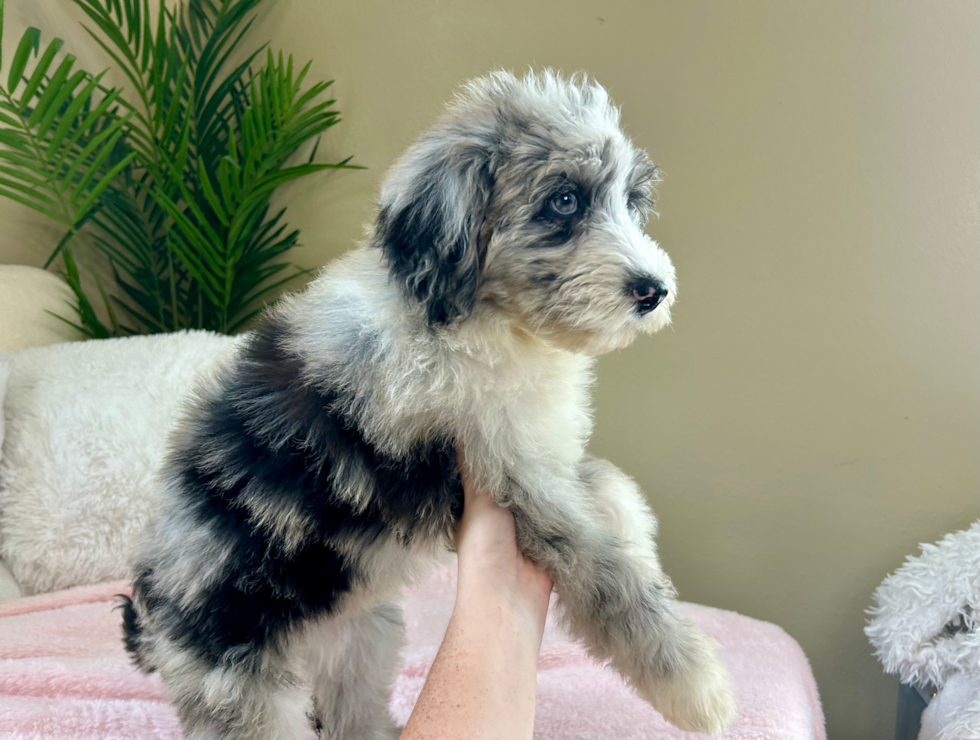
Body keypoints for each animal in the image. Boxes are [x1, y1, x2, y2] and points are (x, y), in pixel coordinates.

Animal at [120, 71, 736, 740]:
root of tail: (151, 612)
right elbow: (601, 572)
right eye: (565, 201)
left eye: (632, 201)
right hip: (237, 681)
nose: (654, 290)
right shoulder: (507, 475)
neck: (483, 322)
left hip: (361, 637)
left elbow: (610, 485)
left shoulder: (532, 453)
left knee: (352, 714)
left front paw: (638, 538)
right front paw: (694, 686)